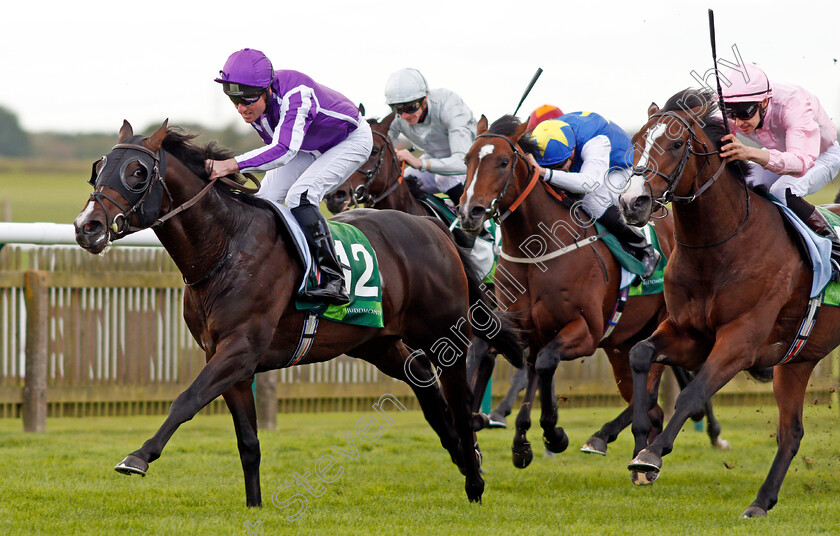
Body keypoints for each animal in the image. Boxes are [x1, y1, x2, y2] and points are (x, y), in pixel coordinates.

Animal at [452, 116, 688, 464]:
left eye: (504, 162)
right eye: (467, 160)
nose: (471, 212)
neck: (536, 252)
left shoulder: (586, 331)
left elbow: (545, 363)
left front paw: (553, 433)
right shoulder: (522, 327)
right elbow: (515, 361)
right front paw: (516, 440)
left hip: (657, 328)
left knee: (648, 397)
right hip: (620, 345)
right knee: (652, 408)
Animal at [616, 89, 840, 520]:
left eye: (675, 144)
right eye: (635, 142)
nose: (632, 202)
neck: (721, 246)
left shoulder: (741, 340)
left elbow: (693, 393)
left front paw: (652, 455)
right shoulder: (688, 334)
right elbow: (639, 354)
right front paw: (639, 442)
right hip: (797, 361)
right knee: (791, 433)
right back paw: (760, 502)